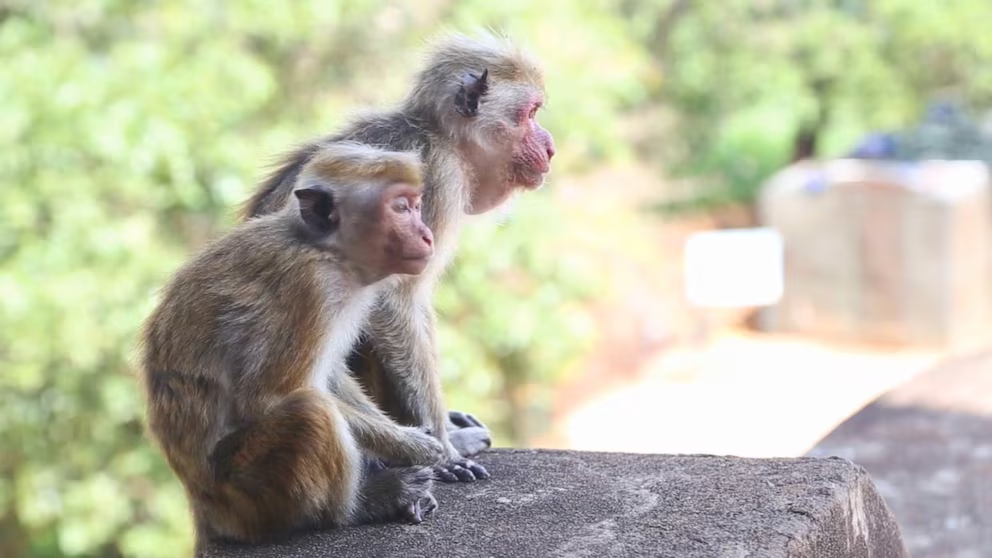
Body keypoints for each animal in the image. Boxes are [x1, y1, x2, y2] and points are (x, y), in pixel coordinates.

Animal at [138, 145, 444, 552]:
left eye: (416, 204)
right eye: (400, 207)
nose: (426, 235)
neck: (324, 249)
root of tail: (203, 504)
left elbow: (329, 375)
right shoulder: (309, 287)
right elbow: (268, 396)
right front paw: (414, 446)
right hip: (247, 490)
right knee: (309, 411)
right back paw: (360, 505)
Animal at [242, 32, 560, 484]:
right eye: (530, 114)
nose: (550, 146)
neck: (441, 137)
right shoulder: (441, 179)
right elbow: (395, 301)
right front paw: (444, 449)